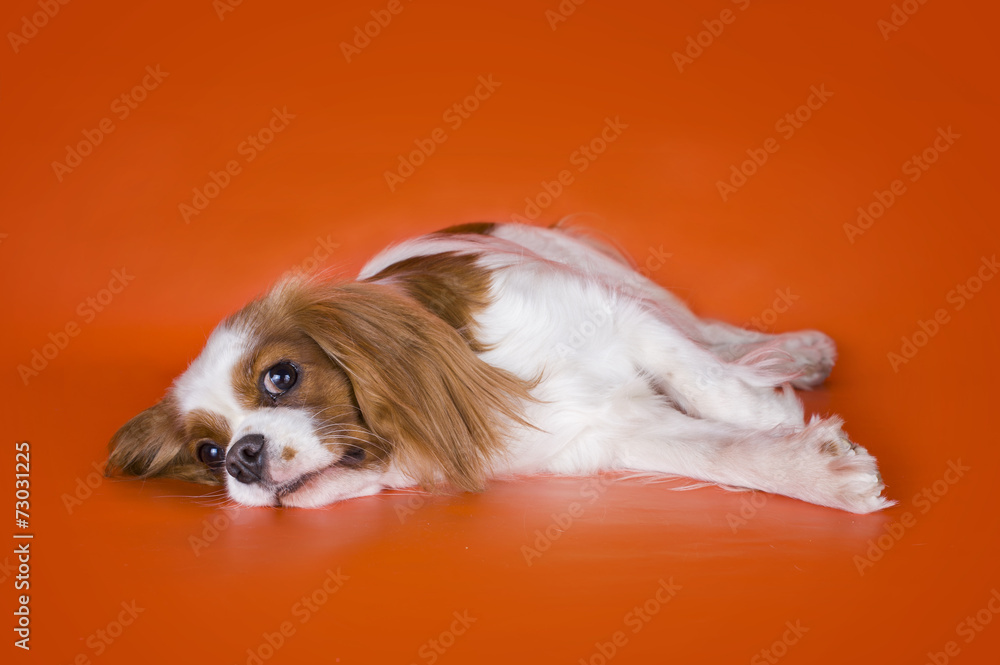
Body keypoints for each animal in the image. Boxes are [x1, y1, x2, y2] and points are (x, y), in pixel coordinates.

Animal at [105, 220, 896, 510]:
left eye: (280, 376)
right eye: (207, 453)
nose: (242, 456)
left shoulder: (610, 311)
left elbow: (705, 381)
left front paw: (774, 409)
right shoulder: (612, 434)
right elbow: (721, 455)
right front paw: (817, 470)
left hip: (607, 272)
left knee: (702, 331)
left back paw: (798, 353)